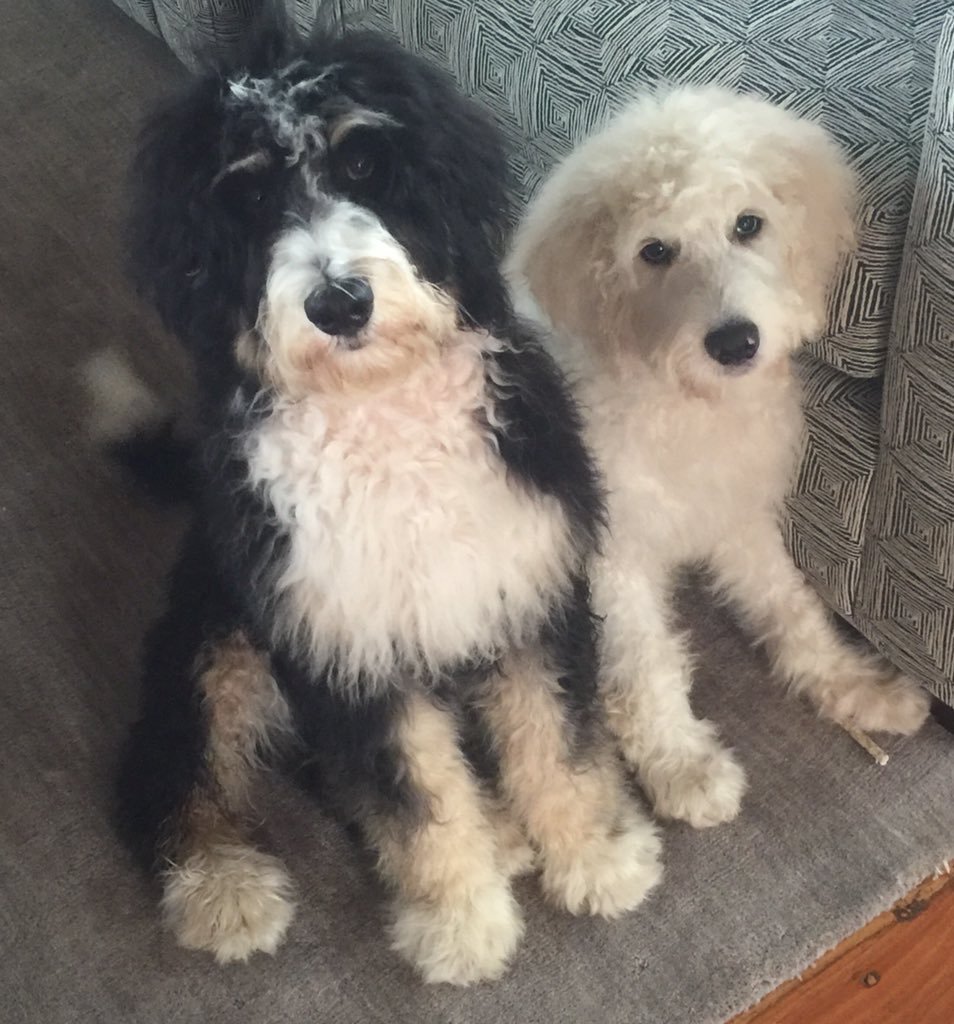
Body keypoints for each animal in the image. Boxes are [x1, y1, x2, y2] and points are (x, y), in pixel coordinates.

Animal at [110, 22, 663, 983]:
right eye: (249, 195)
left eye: (365, 164)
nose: (339, 301)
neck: (384, 411)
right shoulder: (347, 648)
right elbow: (415, 797)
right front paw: (462, 923)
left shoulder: (529, 589)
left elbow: (556, 742)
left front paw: (592, 856)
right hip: (219, 633)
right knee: (173, 763)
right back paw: (221, 885)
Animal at [509, 83, 929, 827]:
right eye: (654, 251)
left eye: (748, 225)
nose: (735, 343)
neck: (691, 409)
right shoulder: (617, 554)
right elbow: (646, 660)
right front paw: (683, 765)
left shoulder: (738, 520)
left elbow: (791, 606)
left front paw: (853, 685)